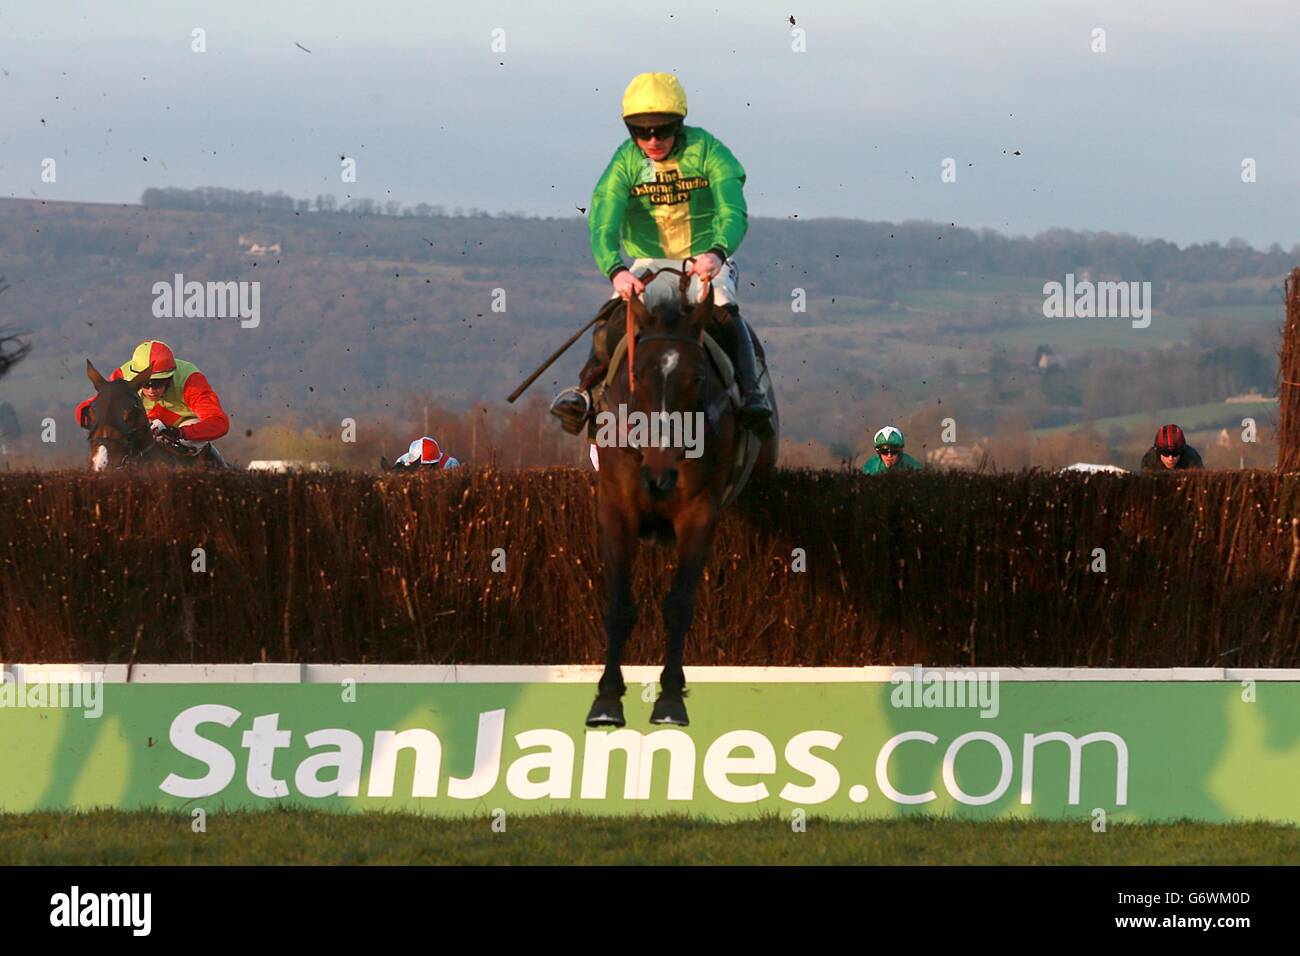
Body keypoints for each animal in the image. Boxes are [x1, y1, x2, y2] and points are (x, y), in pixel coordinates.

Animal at [592, 273, 780, 728]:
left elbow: (678, 604)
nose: (659, 475)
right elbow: (619, 604)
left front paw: (671, 697)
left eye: (697, 379)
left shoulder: (699, 512)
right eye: (637, 375)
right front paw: (607, 698)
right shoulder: (616, 508)